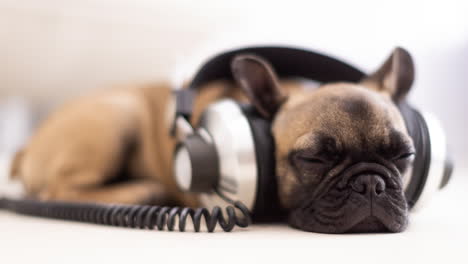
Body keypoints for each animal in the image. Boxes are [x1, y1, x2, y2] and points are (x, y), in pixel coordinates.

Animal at [10, 47, 414, 233]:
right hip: (117, 114)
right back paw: (146, 190)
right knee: (57, 191)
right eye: (314, 159)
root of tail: (24, 149)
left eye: (405, 155)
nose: (371, 183)